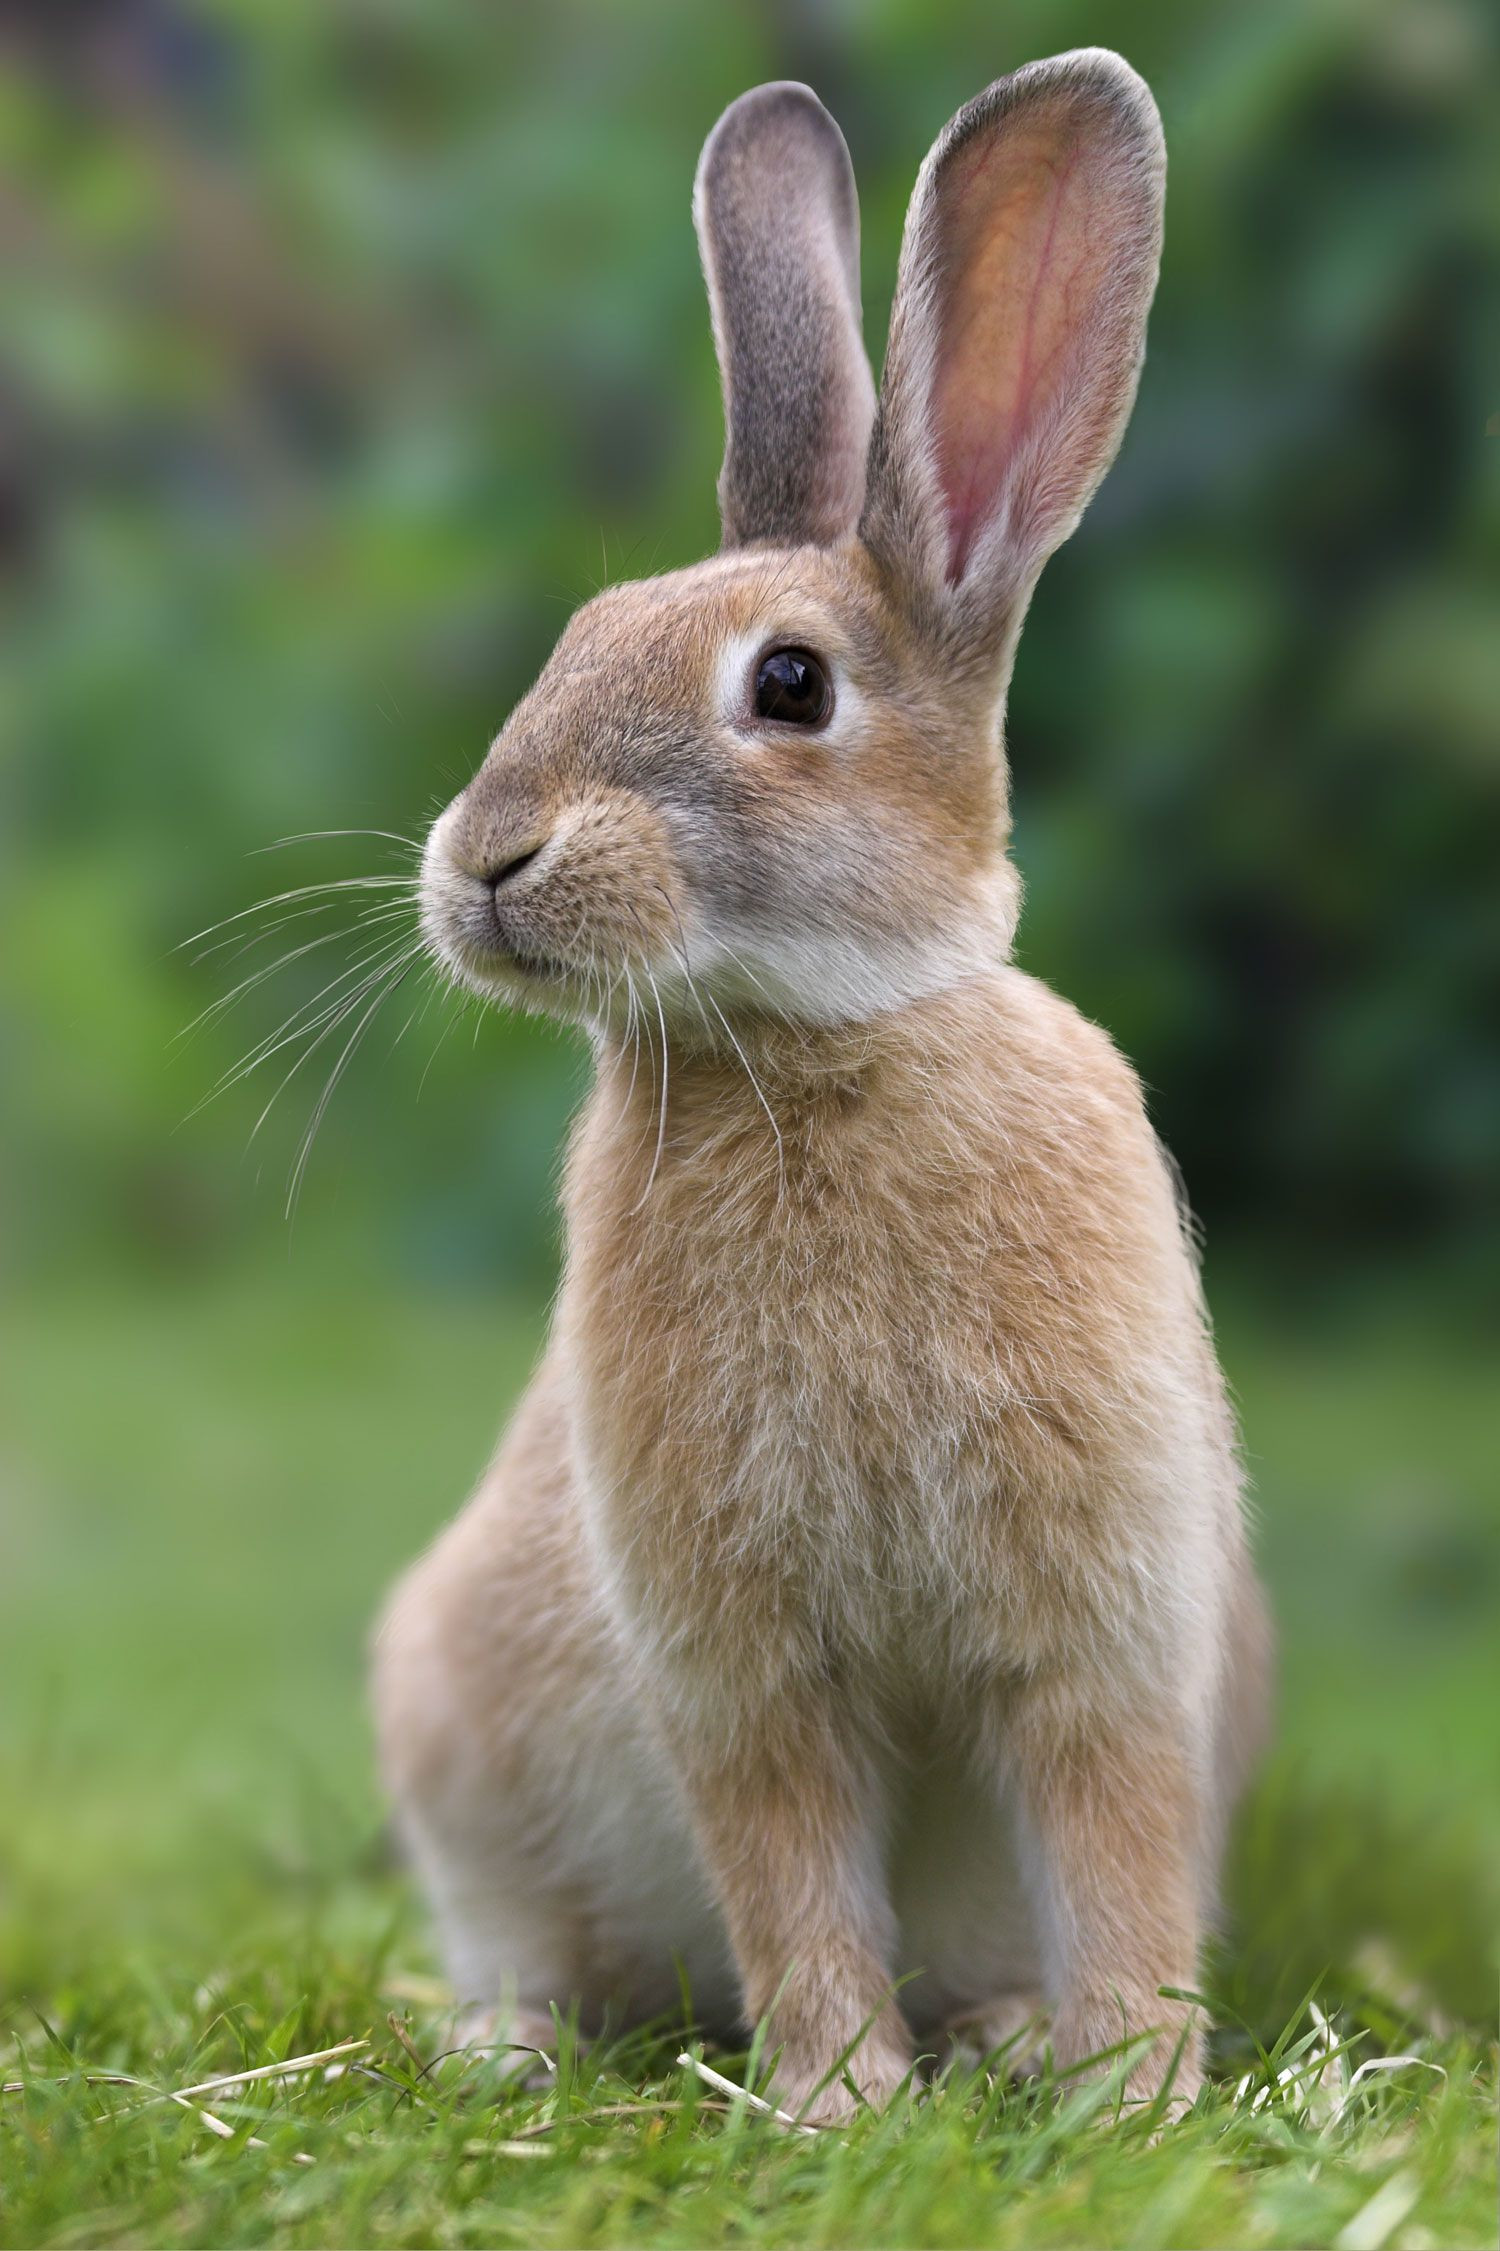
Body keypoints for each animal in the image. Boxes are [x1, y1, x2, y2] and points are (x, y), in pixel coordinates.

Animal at [371, 52, 1261, 2124]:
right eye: (575, 637)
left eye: (789, 686)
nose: (486, 860)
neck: (816, 1046)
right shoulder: (740, 1660)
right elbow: (787, 1870)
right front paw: (841, 2100)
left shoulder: (1104, 1624)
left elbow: (1114, 1844)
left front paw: (1132, 2090)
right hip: (450, 1728)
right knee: (532, 1938)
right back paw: (506, 2046)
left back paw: (1008, 2038)